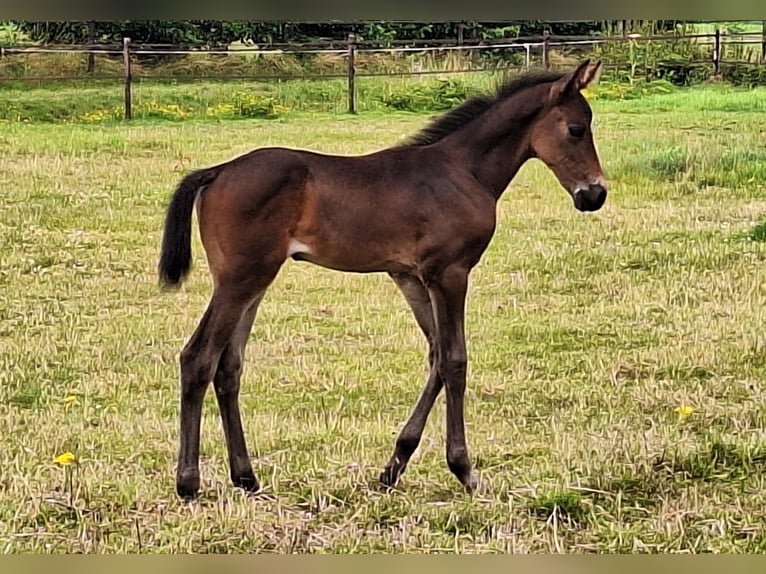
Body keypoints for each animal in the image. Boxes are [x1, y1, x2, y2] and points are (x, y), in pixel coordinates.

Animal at [159, 57, 608, 500]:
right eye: (576, 129)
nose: (595, 194)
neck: (464, 171)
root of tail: (217, 171)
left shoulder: (409, 276)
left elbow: (437, 356)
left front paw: (393, 468)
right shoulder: (450, 273)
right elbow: (455, 360)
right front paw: (465, 471)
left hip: (254, 281)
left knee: (229, 366)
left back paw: (247, 478)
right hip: (240, 280)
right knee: (198, 357)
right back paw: (188, 483)